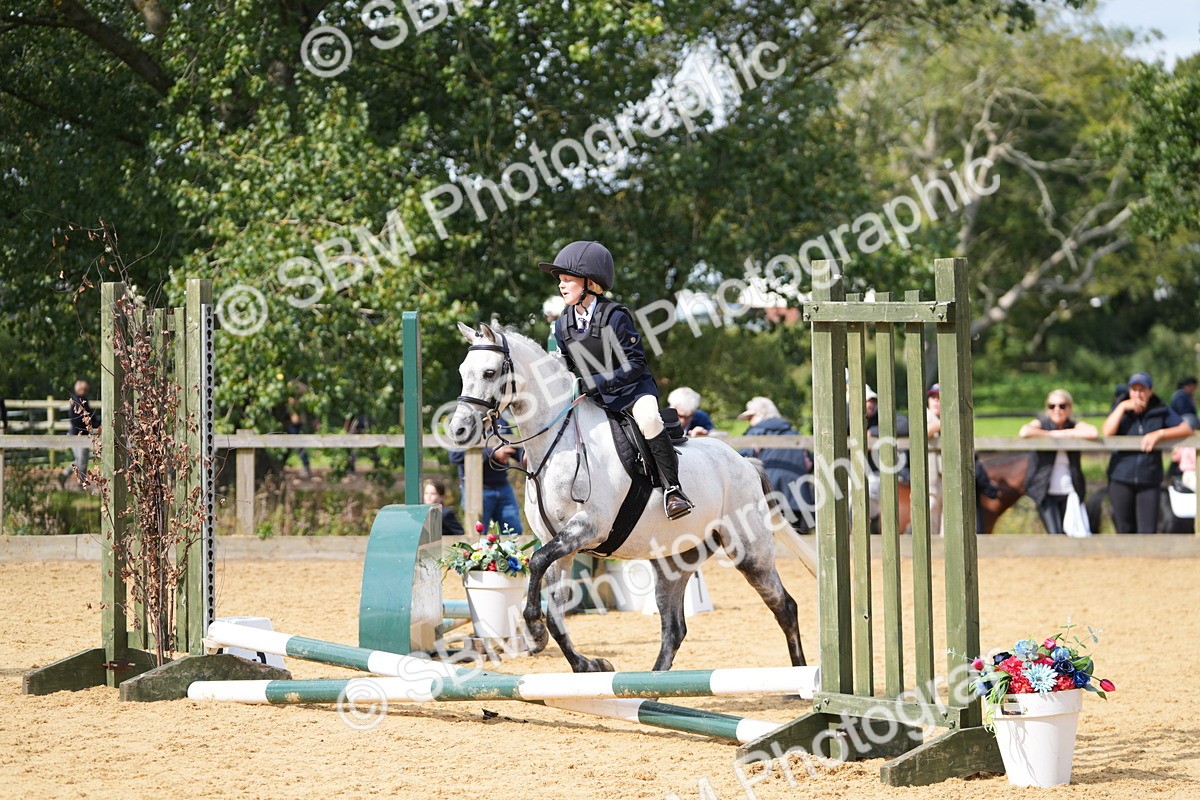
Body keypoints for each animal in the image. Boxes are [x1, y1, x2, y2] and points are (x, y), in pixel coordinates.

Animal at [447, 323, 807, 674]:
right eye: (462, 371)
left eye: (490, 372)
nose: (459, 431)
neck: (557, 444)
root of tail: (745, 462)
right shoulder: (560, 545)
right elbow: (556, 613)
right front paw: (588, 664)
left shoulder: (588, 527)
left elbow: (536, 564)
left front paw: (534, 630)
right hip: (673, 560)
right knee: (674, 627)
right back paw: (652, 684)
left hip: (750, 550)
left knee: (784, 605)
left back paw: (799, 674)